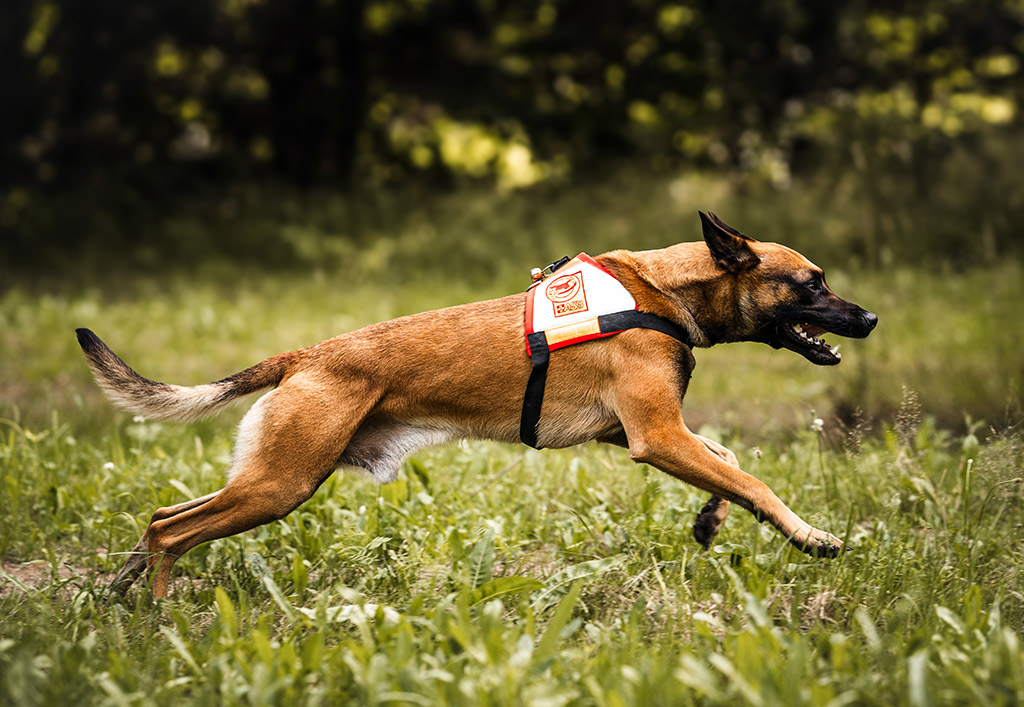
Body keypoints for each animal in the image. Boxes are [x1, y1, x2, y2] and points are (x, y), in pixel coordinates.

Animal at [79, 211, 876, 594]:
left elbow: (730, 463)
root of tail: (305, 357)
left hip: (268, 478)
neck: (662, 291)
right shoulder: (655, 435)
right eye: (812, 282)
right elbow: (755, 479)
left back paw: (120, 593)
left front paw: (711, 519)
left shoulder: (641, 433)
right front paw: (811, 536)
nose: (868, 318)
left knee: (160, 518)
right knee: (174, 532)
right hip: (280, 485)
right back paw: (156, 615)